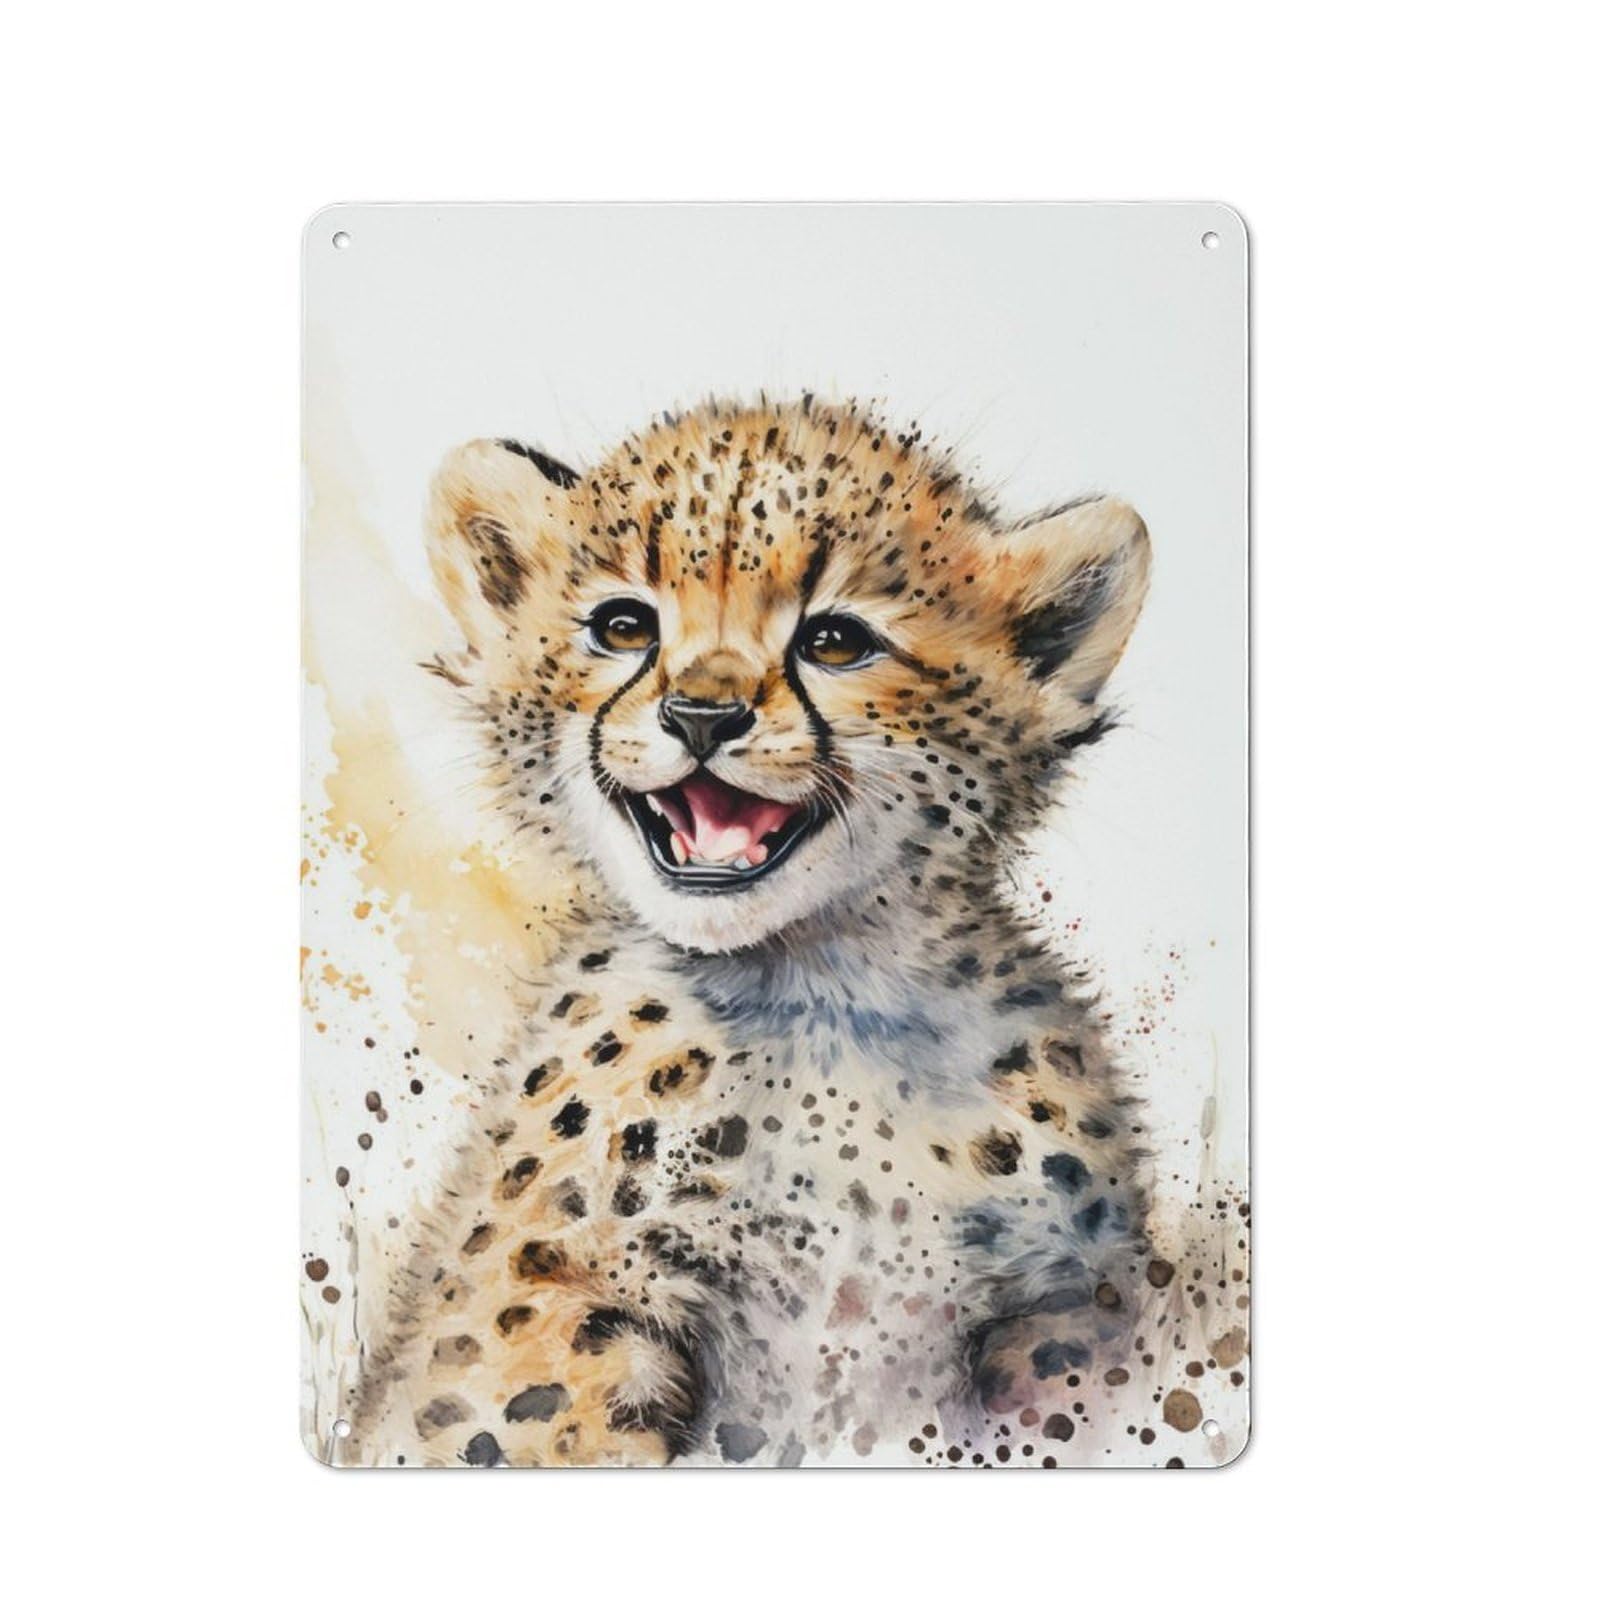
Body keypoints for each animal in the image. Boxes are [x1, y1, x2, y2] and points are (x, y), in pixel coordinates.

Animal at [341, 395, 1156, 1466]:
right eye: (623, 626)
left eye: (837, 640)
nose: (701, 714)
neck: (813, 990)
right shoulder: (520, 1310)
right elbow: (531, 1411)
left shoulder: (1072, 1306)